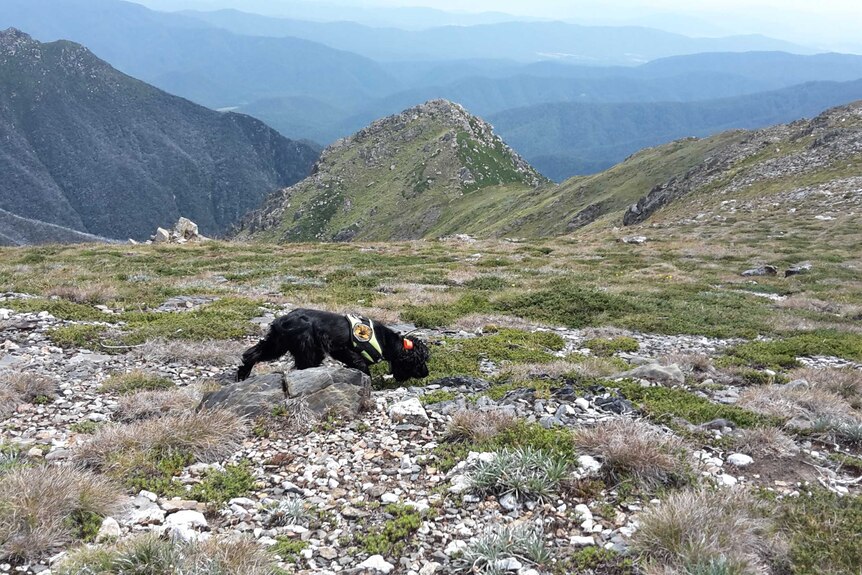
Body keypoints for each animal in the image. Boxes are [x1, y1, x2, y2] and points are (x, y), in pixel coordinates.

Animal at [236, 308, 432, 384]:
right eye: (420, 361)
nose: (426, 373)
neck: (385, 340)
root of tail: (282, 320)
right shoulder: (341, 348)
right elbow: (361, 365)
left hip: (277, 344)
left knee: (251, 354)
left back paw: (242, 373)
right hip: (306, 349)